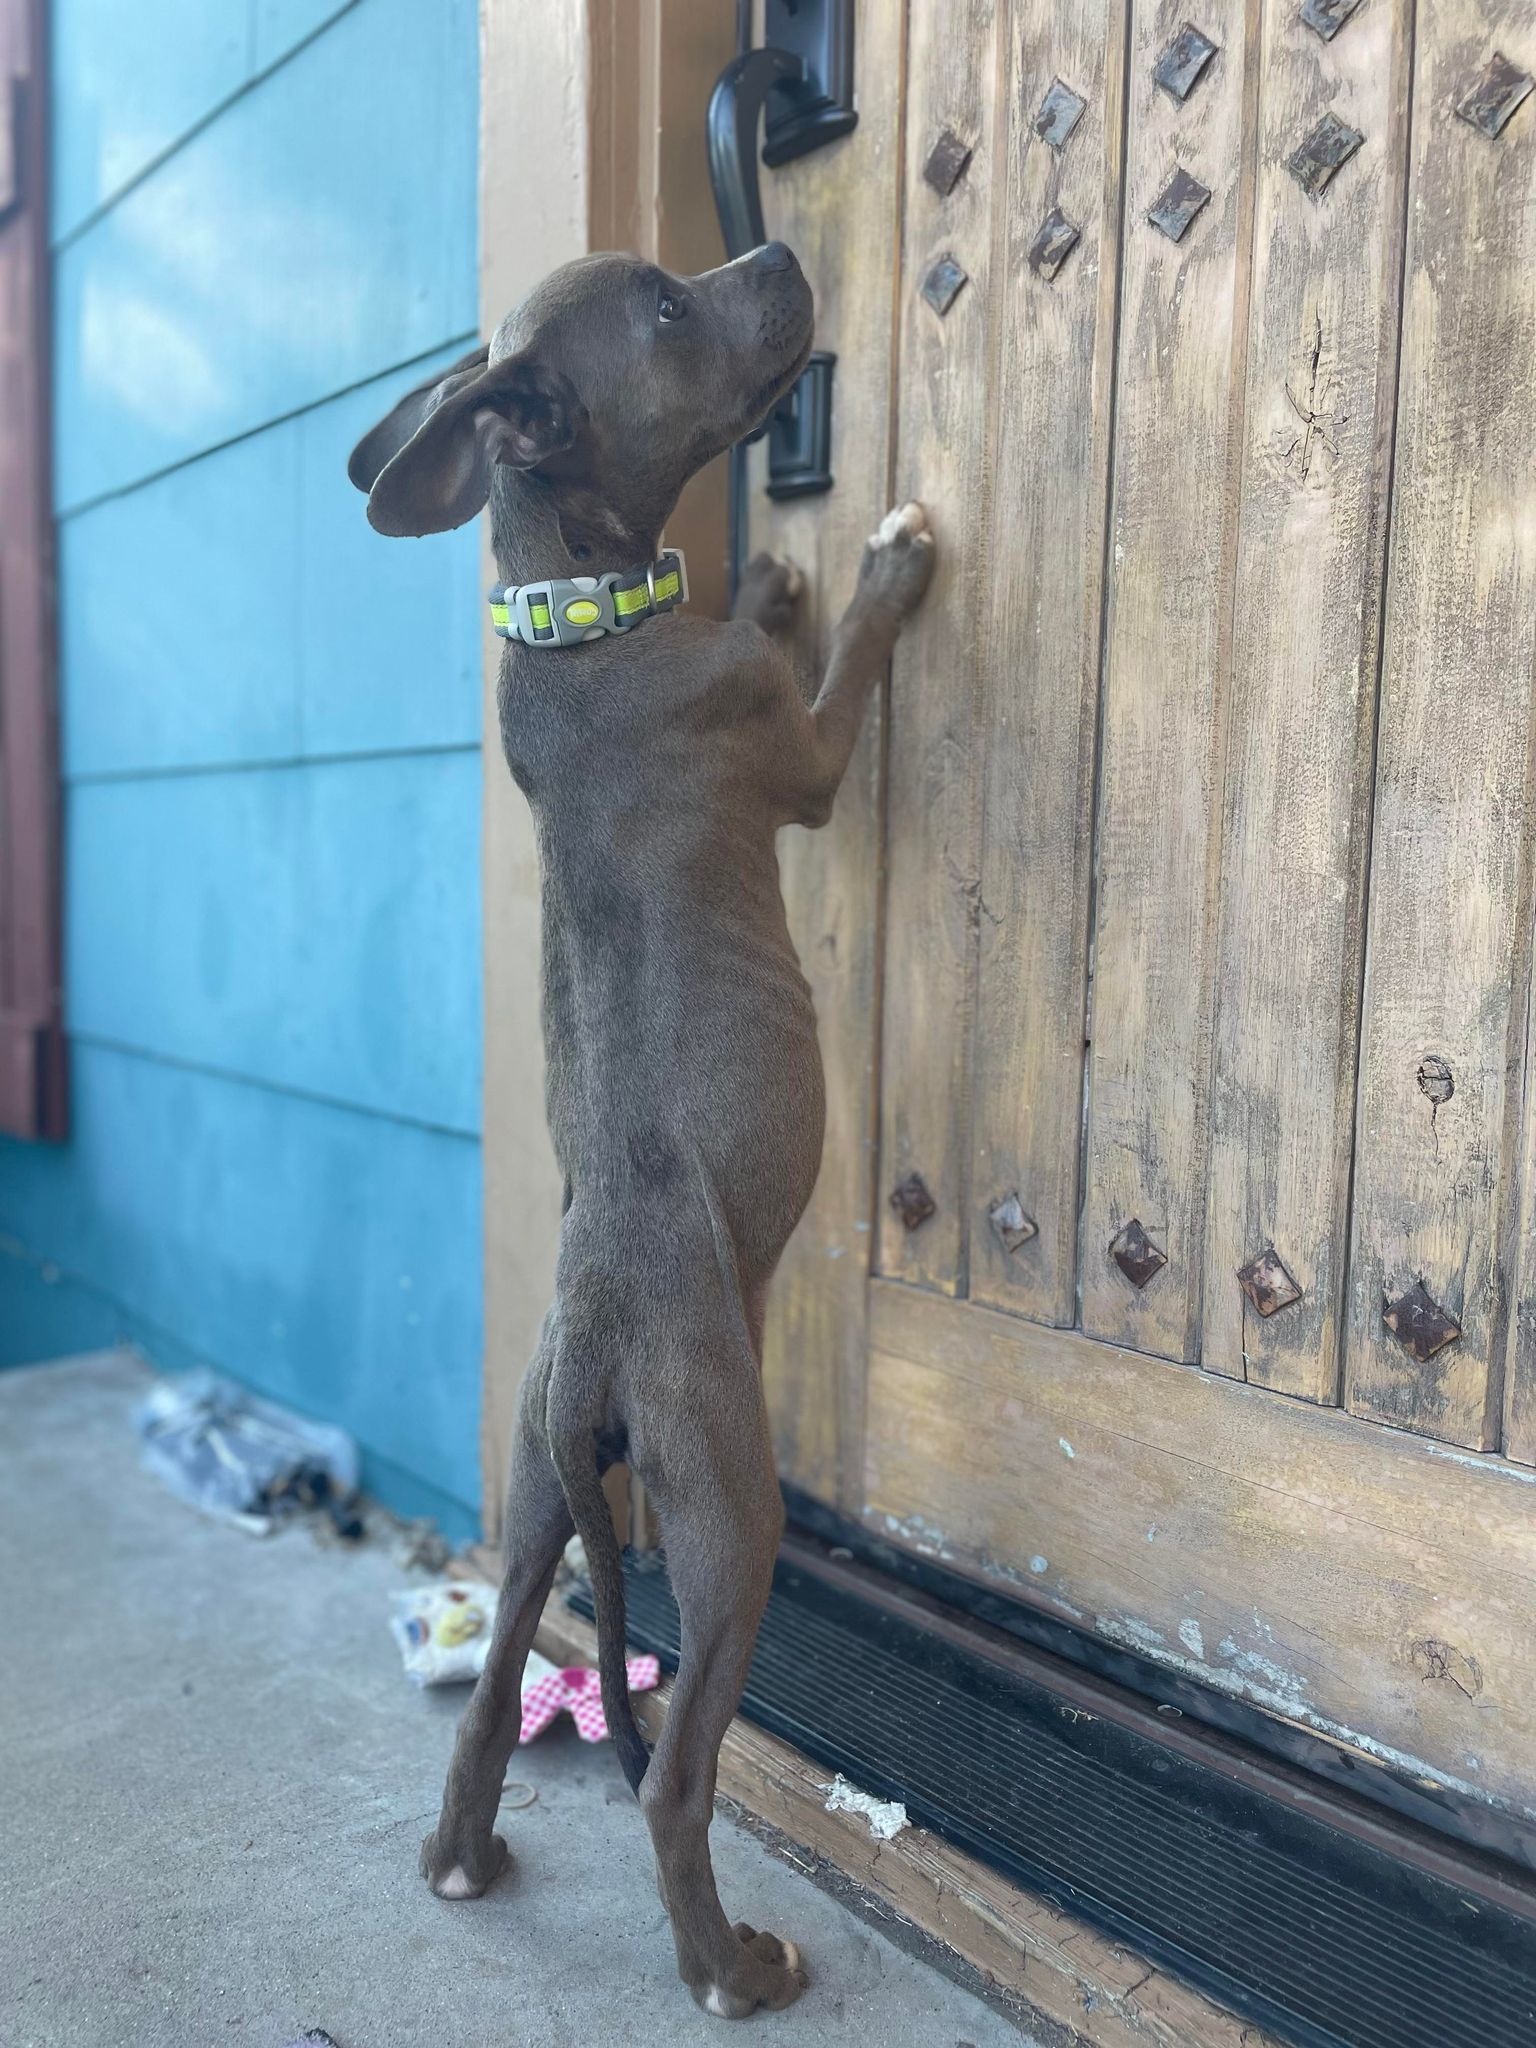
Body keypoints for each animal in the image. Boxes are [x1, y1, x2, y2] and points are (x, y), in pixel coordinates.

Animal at [354, 243, 933, 2015]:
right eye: (670, 310)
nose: (782, 254)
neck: (572, 621)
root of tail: (605, 1330)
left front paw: (775, 581)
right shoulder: (795, 749)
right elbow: (848, 680)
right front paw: (867, 574)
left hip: (541, 1485)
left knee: (492, 1691)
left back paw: (463, 1863)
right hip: (732, 1513)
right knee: (674, 1776)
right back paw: (733, 1969)